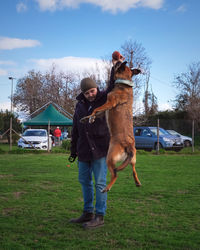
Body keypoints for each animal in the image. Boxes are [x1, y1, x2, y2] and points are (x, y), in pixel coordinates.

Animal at [80, 61, 141, 192]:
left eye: (118, 65)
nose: (117, 61)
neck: (124, 84)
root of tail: (128, 145)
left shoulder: (109, 103)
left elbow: (95, 109)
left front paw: (90, 117)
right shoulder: (105, 109)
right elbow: (95, 112)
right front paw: (87, 118)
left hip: (109, 158)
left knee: (115, 174)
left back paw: (107, 188)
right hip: (133, 159)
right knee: (134, 170)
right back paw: (137, 182)